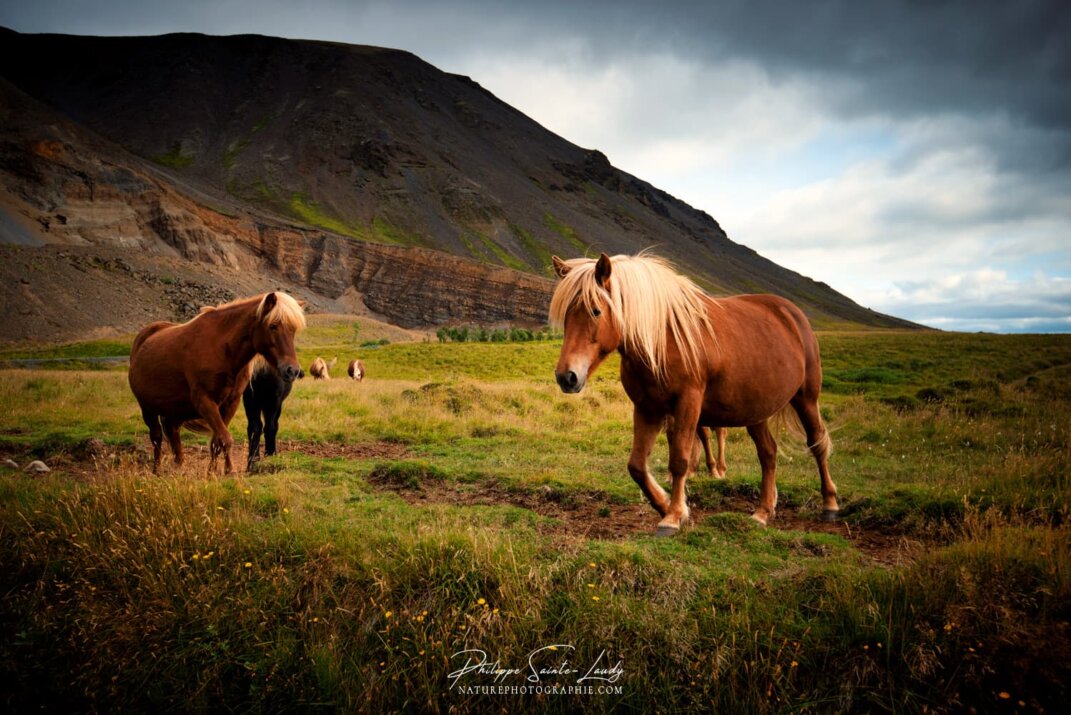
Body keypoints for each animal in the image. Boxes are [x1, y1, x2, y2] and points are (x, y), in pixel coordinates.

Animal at [128, 292, 306, 474]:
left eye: (293, 330)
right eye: (273, 326)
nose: (292, 370)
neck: (221, 350)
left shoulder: (231, 403)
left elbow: (217, 441)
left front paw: (214, 472)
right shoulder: (205, 401)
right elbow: (225, 439)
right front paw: (228, 472)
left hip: (175, 410)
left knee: (173, 433)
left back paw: (179, 466)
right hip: (147, 408)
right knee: (156, 437)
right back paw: (156, 470)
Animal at [550, 253, 837, 535]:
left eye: (596, 310)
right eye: (566, 315)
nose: (567, 377)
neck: (663, 340)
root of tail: (793, 314)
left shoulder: (688, 404)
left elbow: (679, 459)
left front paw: (673, 516)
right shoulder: (647, 408)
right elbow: (637, 466)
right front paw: (664, 503)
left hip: (806, 399)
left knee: (817, 442)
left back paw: (830, 504)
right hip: (756, 412)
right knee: (768, 453)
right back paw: (763, 512)